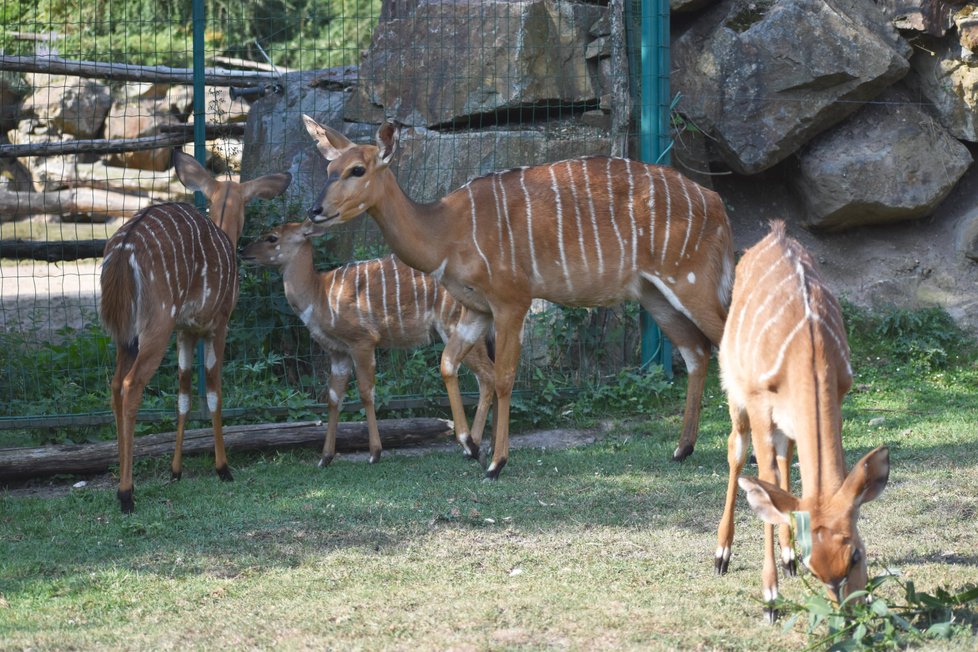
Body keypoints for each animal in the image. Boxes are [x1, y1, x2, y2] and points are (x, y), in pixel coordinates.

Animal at [98, 150, 294, 512]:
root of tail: (124, 247)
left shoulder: (185, 332)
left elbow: (184, 395)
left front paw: (175, 471)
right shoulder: (217, 325)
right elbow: (214, 393)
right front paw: (223, 468)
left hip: (125, 334)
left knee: (116, 385)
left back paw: (122, 480)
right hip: (155, 327)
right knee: (131, 386)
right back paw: (126, 493)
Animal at [237, 222, 496, 466]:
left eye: (272, 238)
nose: (242, 251)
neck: (319, 294)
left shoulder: (362, 342)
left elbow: (365, 392)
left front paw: (374, 453)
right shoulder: (338, 353)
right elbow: (333, 397)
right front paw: (325, 458)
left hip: (454, 328)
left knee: (487, 374)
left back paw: (475, 447)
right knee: (486, 377)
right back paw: (480, 447)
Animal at [304, 114, 732, 476]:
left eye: (357, 169)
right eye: (328, 169)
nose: (315, 210)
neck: (446, 231)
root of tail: (716, 203)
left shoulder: (511, 301)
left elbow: (505, 377)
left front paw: (495, 462)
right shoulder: (476, 309)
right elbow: (448, 364)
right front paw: (469, 444)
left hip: (691, 282)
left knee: (725, 341)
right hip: (654, 295)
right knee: (696, 352)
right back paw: (682, 449)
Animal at [712, 220, 888, 620]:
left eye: (856, 555)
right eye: (815, 569)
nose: (848, 614)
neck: (807, 350)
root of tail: (774, 232)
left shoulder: (838, 394)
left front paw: (789, 554)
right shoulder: (760, 404)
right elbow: (763, 481)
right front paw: (770, 597)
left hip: (786, 423)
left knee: (784, 463)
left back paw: (786, 551)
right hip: (735, 393)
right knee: (736, 450)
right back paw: (722, 554)